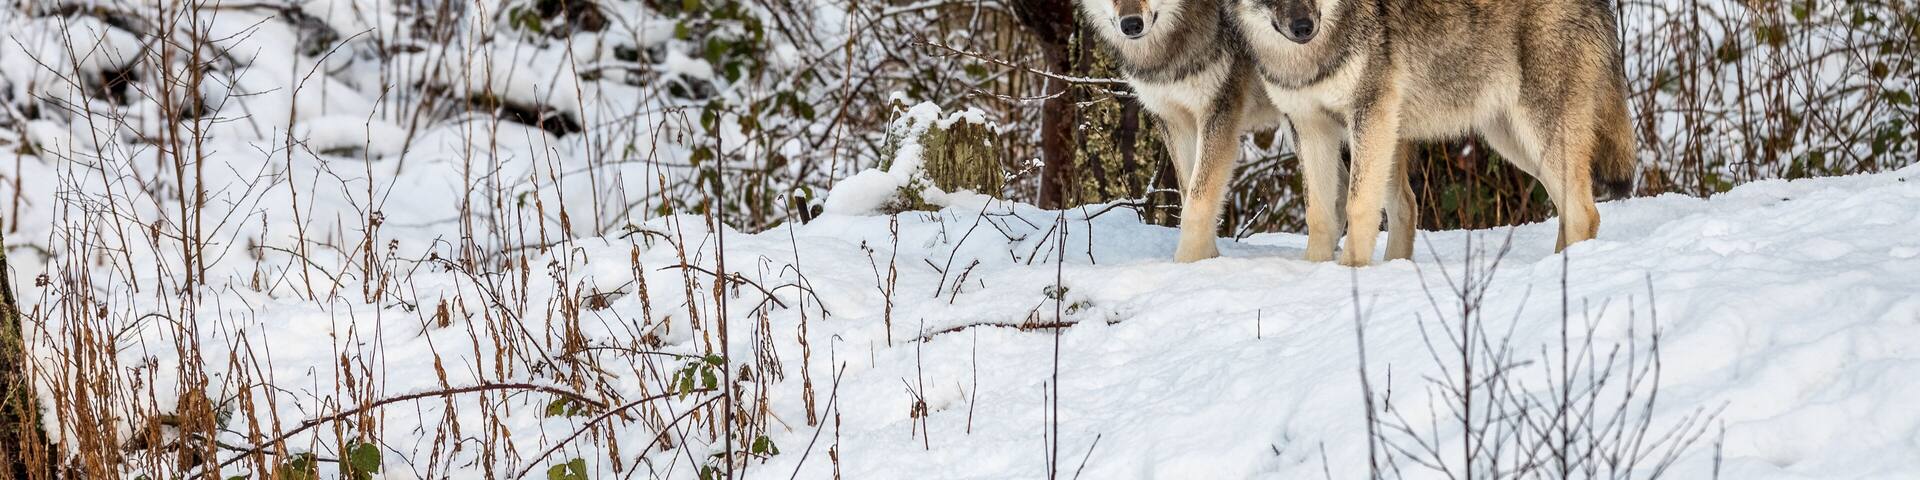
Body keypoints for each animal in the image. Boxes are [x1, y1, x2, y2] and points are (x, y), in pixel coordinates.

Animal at [1075, 0, 1418, 262]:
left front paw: (1188, 264)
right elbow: (1190, 196)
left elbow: (1199, 201)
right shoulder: (1174, 122)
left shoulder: (1219, 116)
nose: (1131, 24)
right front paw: (1206, 258)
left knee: (1396, 202)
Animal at [1231, 0, 1638, 266]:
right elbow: (1319, 215)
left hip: (1539, 133)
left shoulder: (1371, 115)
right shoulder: (1309, 127)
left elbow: (1358, 206)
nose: (1303, 28)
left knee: (1585, 214)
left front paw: (1352, 275)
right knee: (1570, 211)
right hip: (1514, 142)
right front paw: (1316, 272)